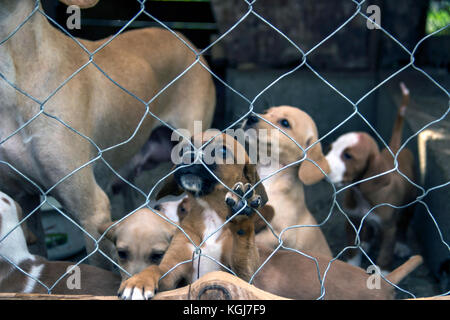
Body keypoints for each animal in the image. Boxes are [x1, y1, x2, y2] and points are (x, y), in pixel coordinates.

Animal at [117, 131, 270, 300]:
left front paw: (241, 211)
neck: (210, 213)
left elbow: (243, 246)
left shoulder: (242, 277)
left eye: (223, 151)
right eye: (184, 149)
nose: (189, 156)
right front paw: (138, 282)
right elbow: (155, 269)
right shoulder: (172, 272)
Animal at [326, 82, 416, 270]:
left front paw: (383, 273)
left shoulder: (389, 228)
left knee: (404, 225)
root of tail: (394, 149)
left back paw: (402, 245)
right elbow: (352, 250)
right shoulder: (352, 220)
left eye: (348, 156)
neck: (362, 194)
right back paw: (366, 242)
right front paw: (352, 265)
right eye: (330, 148)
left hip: (411, 204)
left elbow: (385, 255)